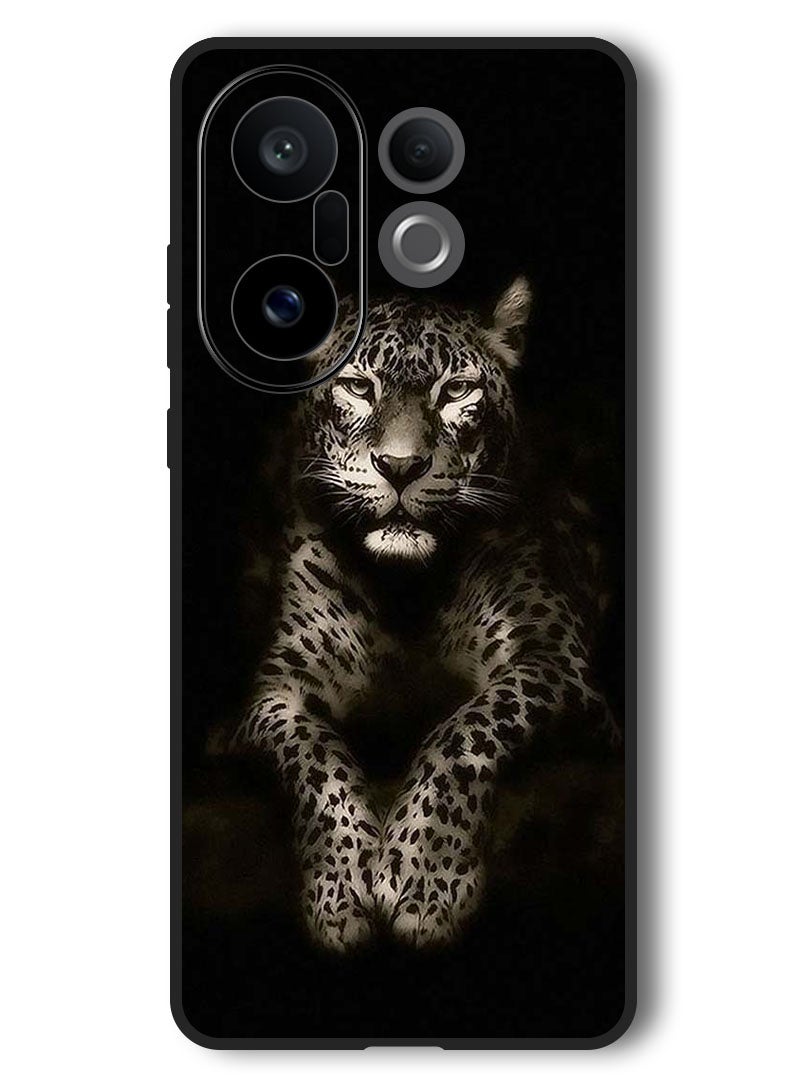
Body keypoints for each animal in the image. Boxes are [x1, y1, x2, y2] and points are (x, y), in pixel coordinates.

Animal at [229, 277, 618, 951]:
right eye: (360, 386)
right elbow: (314, 755)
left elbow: (466, 728)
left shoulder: (555, 661)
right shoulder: (275, 691)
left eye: (456, 390)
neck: (406, 591)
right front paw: (340, 889)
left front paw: (424, 876)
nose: (401, 467)